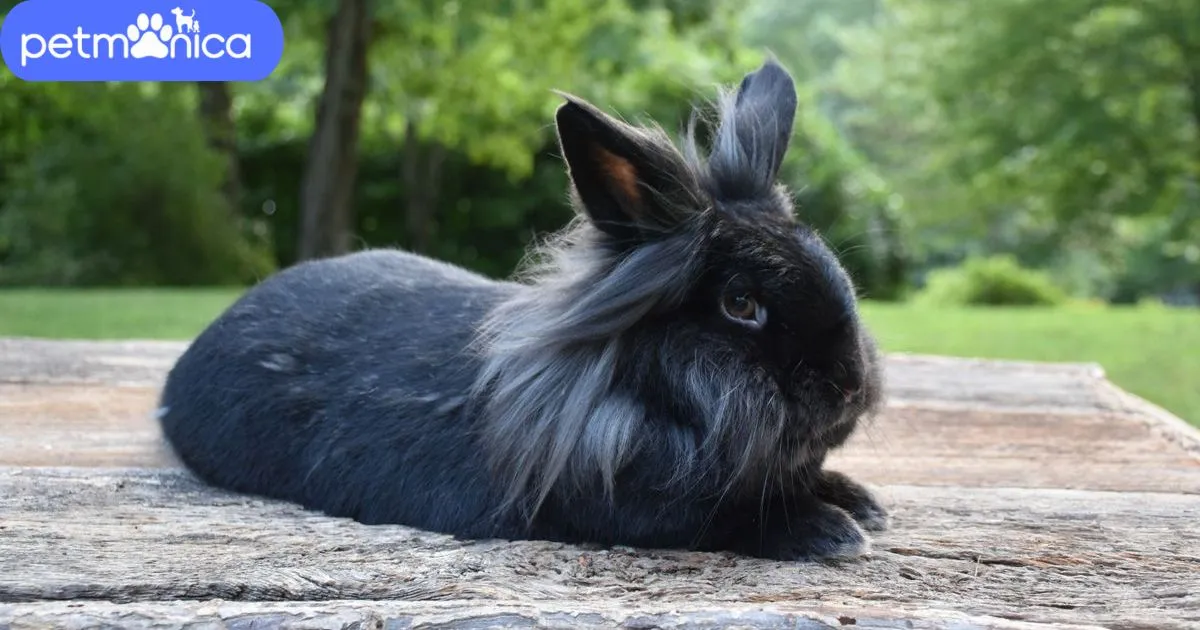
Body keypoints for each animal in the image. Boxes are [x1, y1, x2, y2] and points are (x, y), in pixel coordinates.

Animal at [159, 57, 888, 559]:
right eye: (740, 303)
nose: (850, 386)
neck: (635, 395)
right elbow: (727, 520)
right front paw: (830, 530)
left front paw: (861, 502)